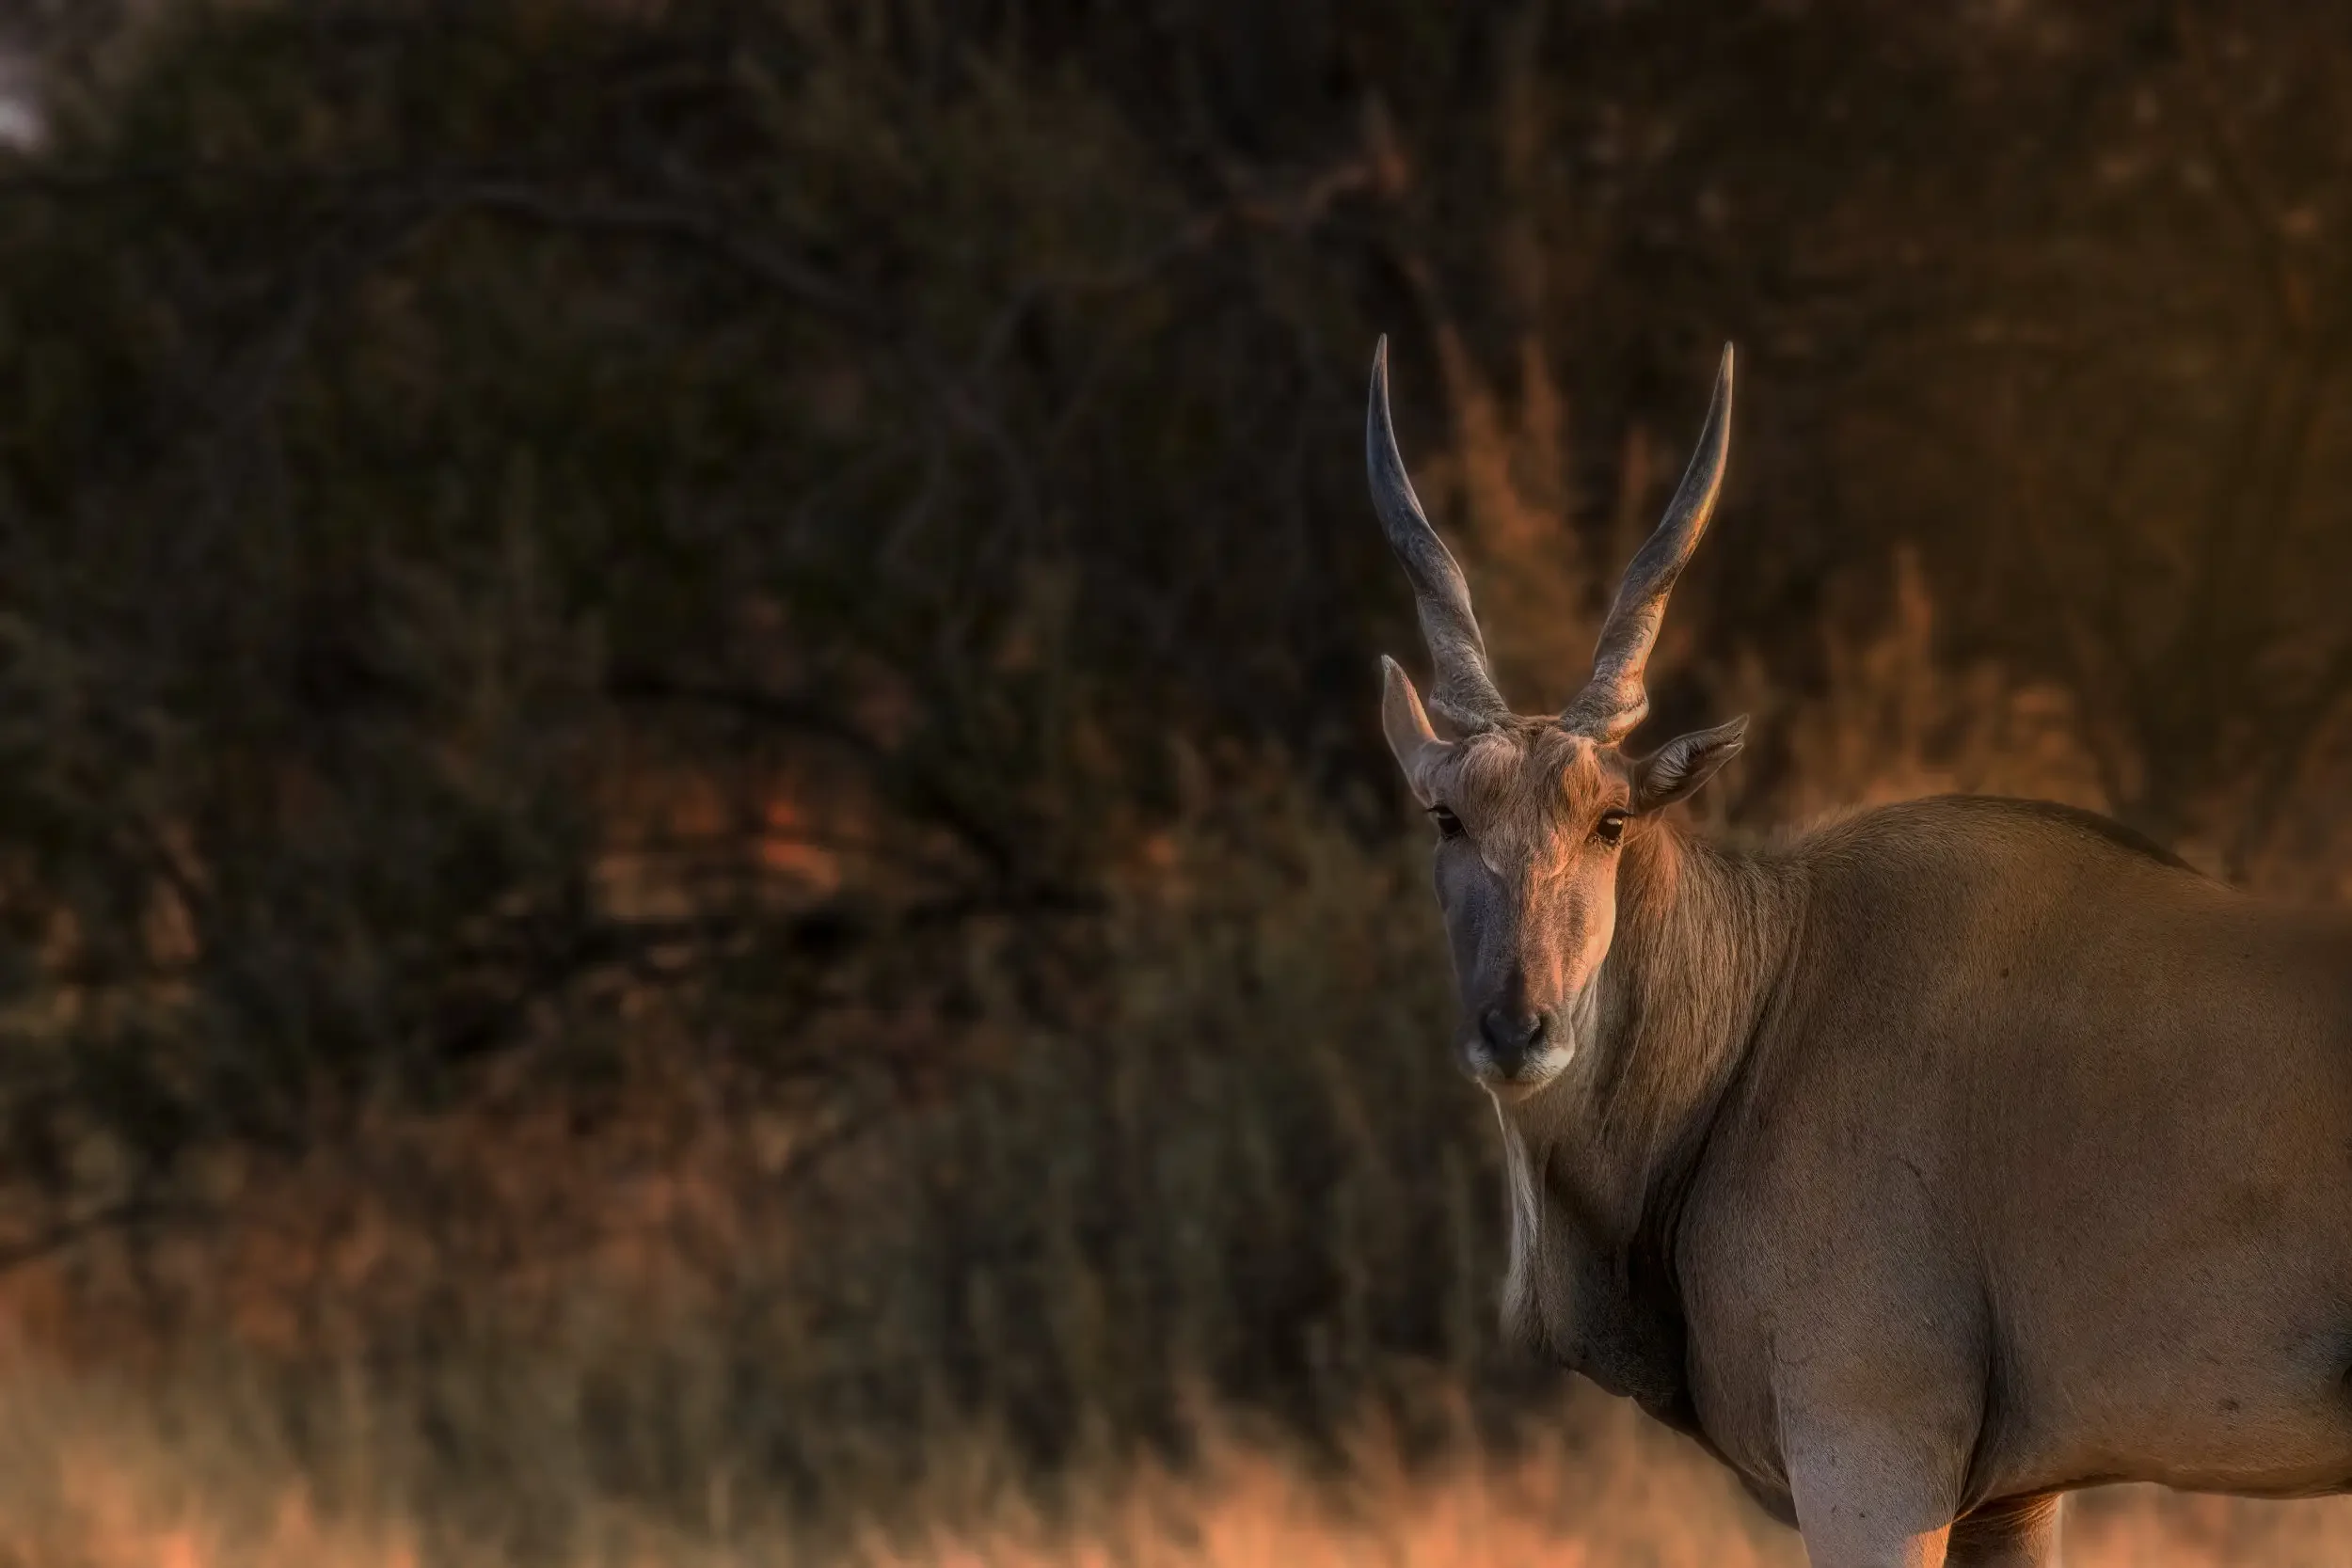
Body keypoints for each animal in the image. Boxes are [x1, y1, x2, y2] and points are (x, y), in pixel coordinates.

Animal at [1367, 337, 2352, 1568]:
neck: (1768, 1003)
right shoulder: (2010, 1498)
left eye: (1609, 821)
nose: (1517, 1028)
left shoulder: (1869, 1450)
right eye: (1448, 817)